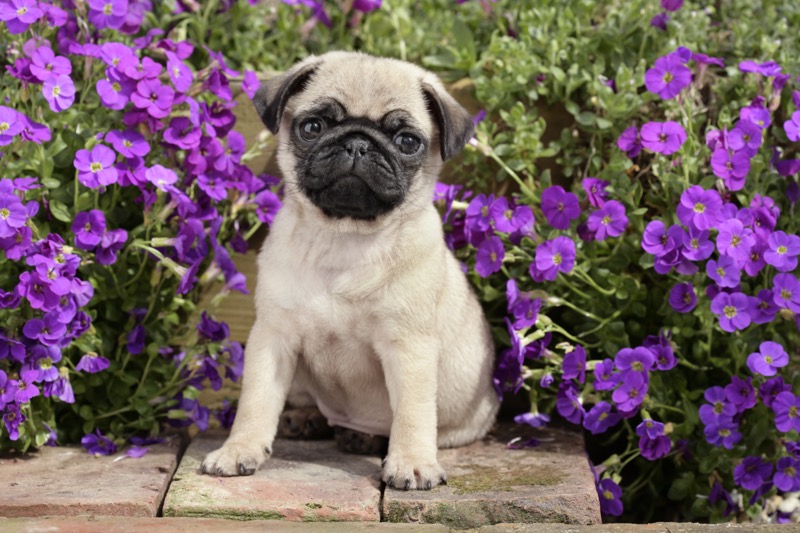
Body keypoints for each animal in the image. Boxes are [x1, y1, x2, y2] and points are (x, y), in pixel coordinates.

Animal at [203, 52, 496, 488]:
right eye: (312, 127)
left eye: (407, 141)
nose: (357, 143)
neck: (343, 238)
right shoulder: (273, 336)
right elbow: (255, 401)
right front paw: (239, 449)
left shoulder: (408, 347)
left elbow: (412, 413)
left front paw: (411, 462)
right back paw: (306, 419)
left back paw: (362, 438)